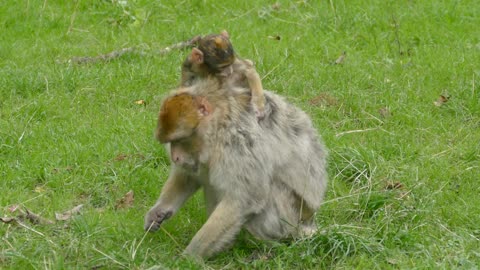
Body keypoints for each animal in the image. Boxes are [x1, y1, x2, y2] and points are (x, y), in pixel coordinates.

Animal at [144, 79, 328, 258]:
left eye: (180, 140)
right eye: (171, 142)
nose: (175, 157)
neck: (218, 126)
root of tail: (308, 223)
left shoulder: (238, 143)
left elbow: (244, 198)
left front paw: (189, 257)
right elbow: (189, 177)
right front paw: (159, 211)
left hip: (288, 219)